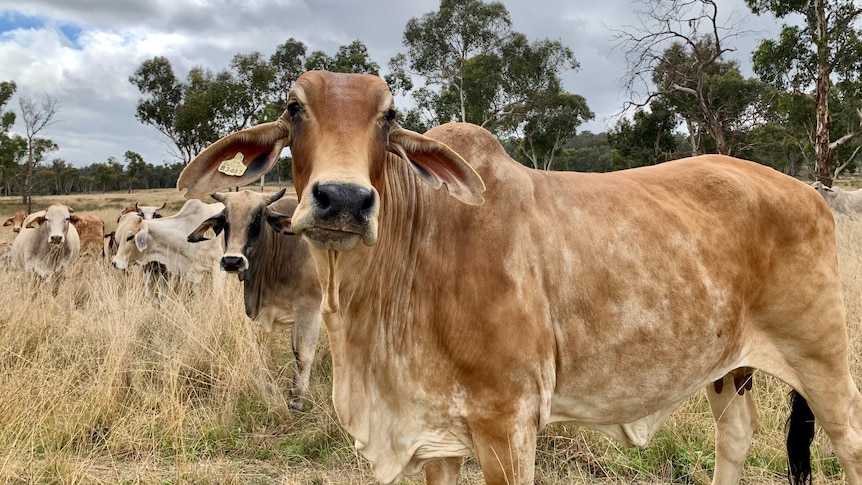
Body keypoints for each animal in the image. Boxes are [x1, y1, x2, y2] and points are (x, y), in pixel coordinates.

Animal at [189, 187, 324, 410]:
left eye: (258, 216)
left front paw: (297, 399)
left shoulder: (309, 309)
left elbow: (303, 355)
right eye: (225, 217)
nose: (232, 261)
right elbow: (295, 351)